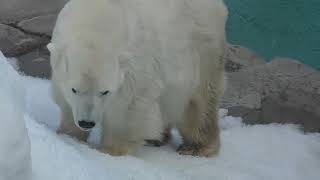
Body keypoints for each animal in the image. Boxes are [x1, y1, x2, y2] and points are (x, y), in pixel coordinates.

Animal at [48, 0, 228, 157]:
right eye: (74, 89)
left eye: (105, 91)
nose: (86, 123)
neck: (96, 18)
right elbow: (67, 103)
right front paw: (68, 135)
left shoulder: (135, 64)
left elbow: (127, 110)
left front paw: (110, 151)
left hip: (201, 48)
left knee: (200, 101)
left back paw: (196, 147)